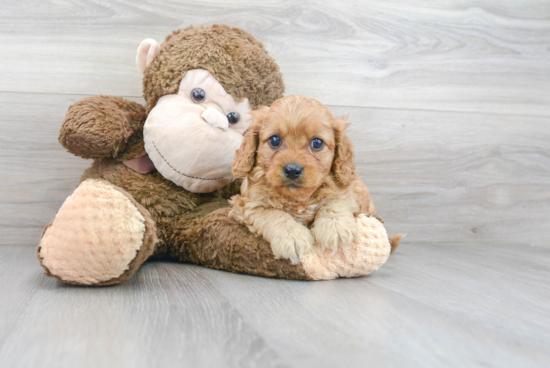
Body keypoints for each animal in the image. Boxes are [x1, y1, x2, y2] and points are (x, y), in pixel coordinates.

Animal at [230, 93, 380, 264]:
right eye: (275, 140)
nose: (292, 170)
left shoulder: (348, 191)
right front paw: (292, 237)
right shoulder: (248, 205)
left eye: (317, 143)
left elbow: (333, 202)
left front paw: (335, 229)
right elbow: (274, 215)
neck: (298, 198)